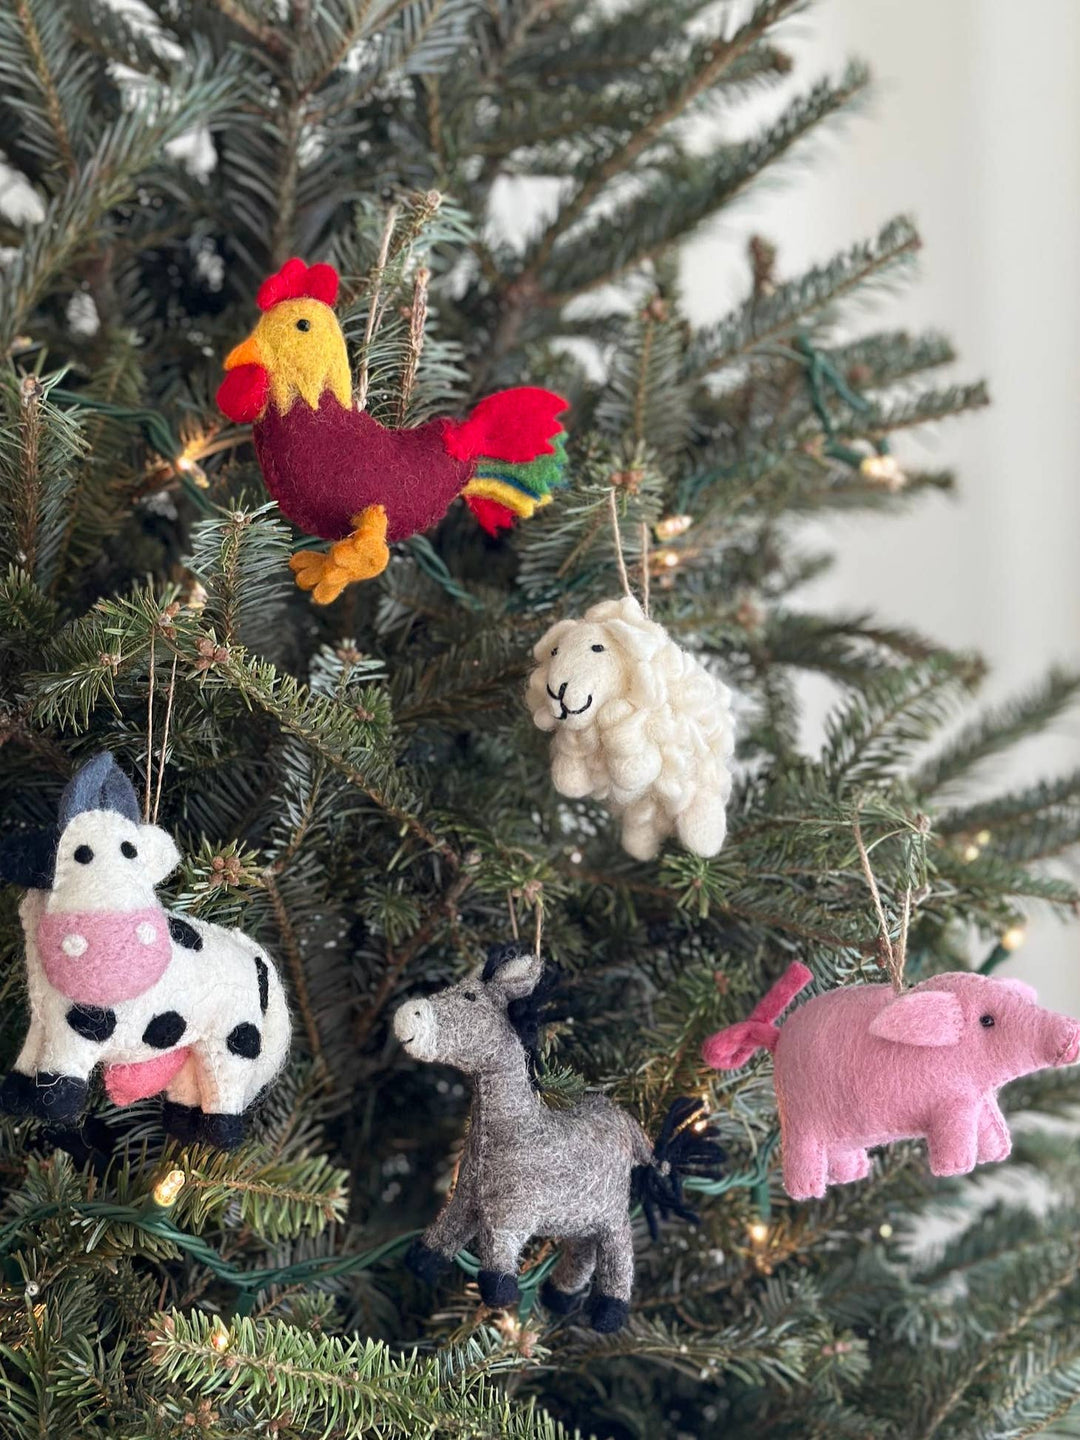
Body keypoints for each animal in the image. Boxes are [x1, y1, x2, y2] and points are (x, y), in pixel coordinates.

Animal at [0, 754, 289, 1146]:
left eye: (130, 851)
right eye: (78, 853)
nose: (135, 944)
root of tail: (256, 960)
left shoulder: (79, 1027)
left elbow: (60, 1073)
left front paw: (53, 1109)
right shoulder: (42, 1016)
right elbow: (27, 1058)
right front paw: (15, 1098)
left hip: (234, 1038)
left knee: (225, 1087)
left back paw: (221, 1136)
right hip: (193, 1044)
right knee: (191, 1083)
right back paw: (182, 1128)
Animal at [702, 967, 1080, 1203]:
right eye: (987, 1020)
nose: (1072, 1033)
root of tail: (777, 1038)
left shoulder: (978, 1100)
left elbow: (989, 1128)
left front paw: (996, 1154)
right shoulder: (952, 1106)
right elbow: (956, 1136)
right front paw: (956, 1169)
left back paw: (852, 1175)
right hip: (799, 1117)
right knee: (803, 1151)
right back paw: (808, 1191)